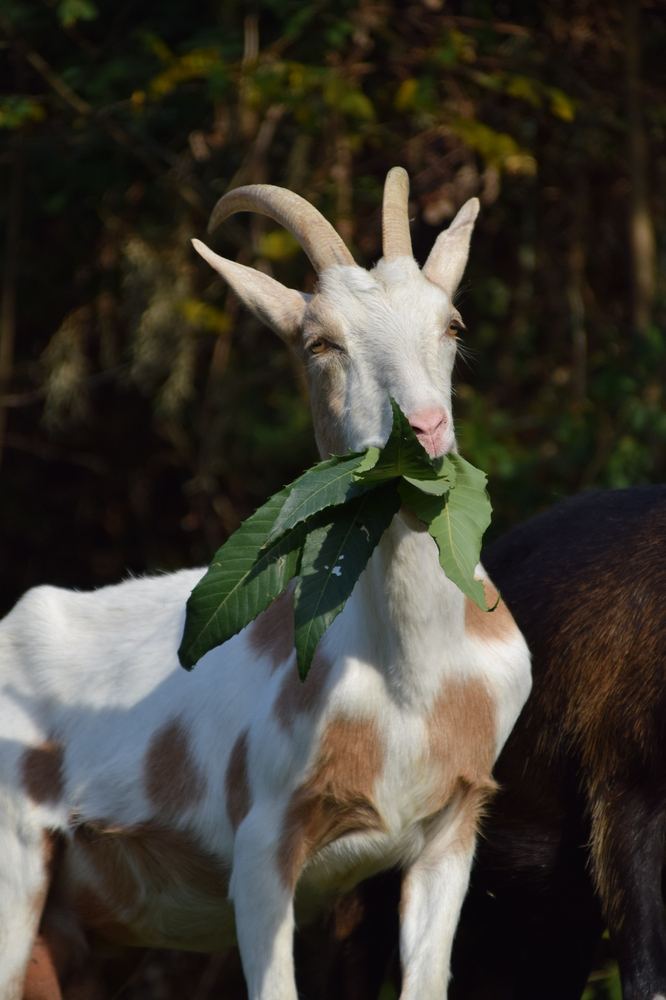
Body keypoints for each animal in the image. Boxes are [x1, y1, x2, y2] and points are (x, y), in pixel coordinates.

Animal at [1, 168, 530, 1000]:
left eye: (451, 324)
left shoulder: (450, 828)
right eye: (320, 342)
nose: (424, 431)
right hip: (17, 863)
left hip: (85, 933)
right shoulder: (262, 848)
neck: (407, 683)